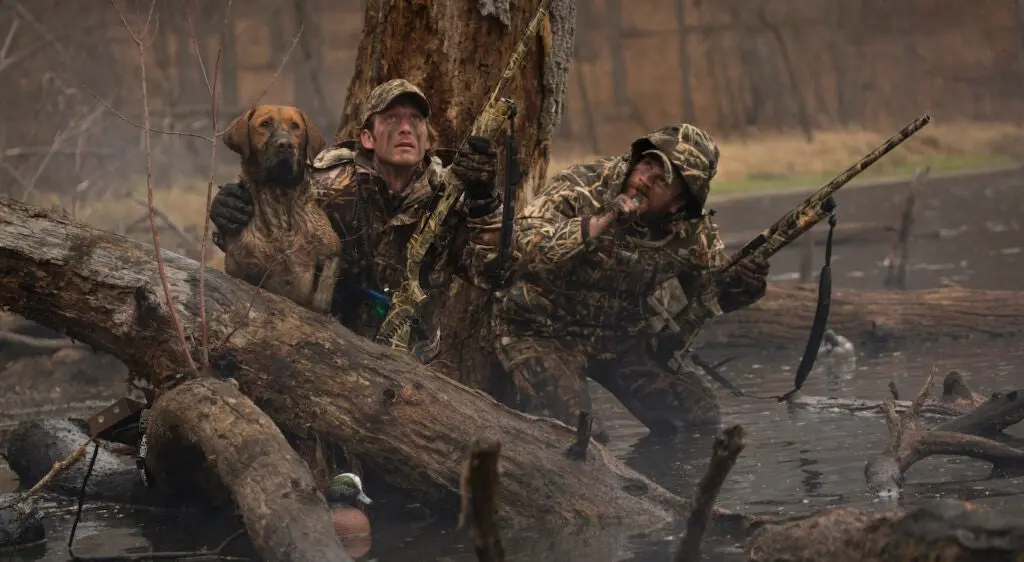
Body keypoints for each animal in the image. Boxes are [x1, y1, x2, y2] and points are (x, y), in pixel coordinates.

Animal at [218, 104, 342, 313]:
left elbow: (324, 288)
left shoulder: (330, 248)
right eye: (265, 124)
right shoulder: (241, 265)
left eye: (295, 126)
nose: (286, 145)